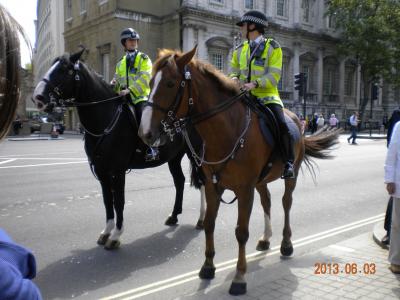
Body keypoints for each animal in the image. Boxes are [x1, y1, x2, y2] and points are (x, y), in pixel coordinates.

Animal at [32, 49, 205, 250]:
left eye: (65, 70)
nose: (38, 97)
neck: (105, 121)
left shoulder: (117, 171)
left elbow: (119, 201)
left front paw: (115, 235)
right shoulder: (101, 171)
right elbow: (108, 201)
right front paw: (106, 231)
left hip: (195, 155)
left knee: (202, 182)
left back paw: (201, 219)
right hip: (174, 158)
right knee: (179, 181)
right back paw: (174, 215)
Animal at [139, 47, 340, 296]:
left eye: (169, 83)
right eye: (150, 82)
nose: (145, 132)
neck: (227, 131)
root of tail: (297, 120)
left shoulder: (244, 190)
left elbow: (241, 232)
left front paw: (239, 277)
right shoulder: (213, 186)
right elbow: (209, 224)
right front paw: (208, 266)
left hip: (288, 176)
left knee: (286, 203)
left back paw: (286, 244)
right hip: (261, 181)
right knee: (267, 201)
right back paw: (266, 238)